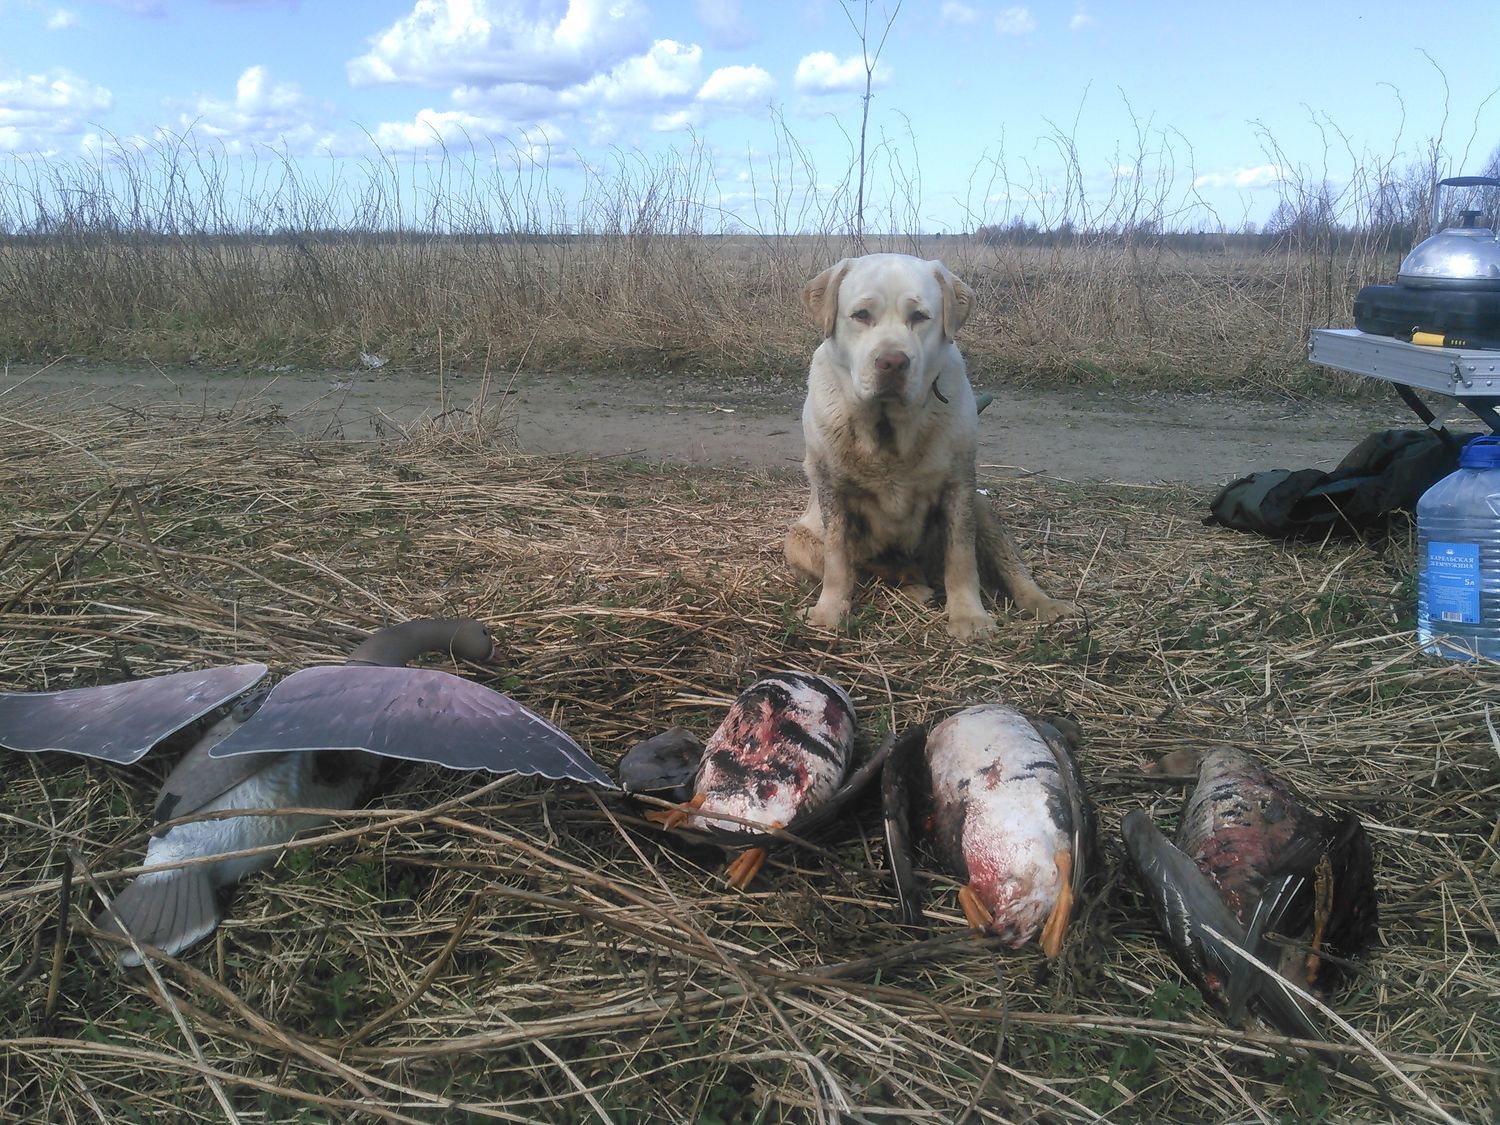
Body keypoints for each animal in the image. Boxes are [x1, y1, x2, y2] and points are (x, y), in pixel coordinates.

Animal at [785, 253, 1077, 641]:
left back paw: (1045, 604)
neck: (888, 429)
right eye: (861, 315)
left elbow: (961, 558)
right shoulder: (832, 488)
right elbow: (837, 558)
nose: (893, 361)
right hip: (797, 539)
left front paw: (969, 616)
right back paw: (911, 589)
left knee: (1012, 567)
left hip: (982, 508)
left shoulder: (959, 485)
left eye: (919, 317)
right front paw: (830, 612)